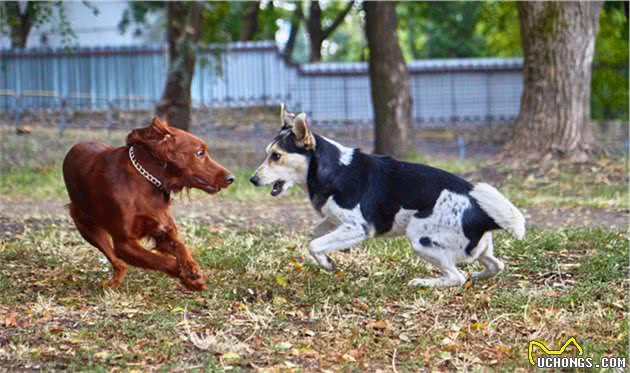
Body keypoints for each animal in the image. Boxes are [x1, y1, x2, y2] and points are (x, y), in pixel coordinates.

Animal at [62, 117, 235, 290]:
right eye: (200, 152)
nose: (231, 178)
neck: (145, 180)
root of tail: (75, 147)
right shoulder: (124, 244)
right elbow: (162, 261)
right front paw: (187, 277)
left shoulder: (162, 231)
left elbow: (180, 246)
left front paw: (191, 269)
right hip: (86, 227)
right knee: (118, 262)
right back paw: (112, 283)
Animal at [249, 105, 524, 288]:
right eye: (267, 154)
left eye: (276, 156)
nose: (252, 180)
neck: (330, 169)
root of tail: (480, 213)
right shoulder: (335, 221)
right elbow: (315, 235)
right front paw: (331, 256)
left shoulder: (358, 227)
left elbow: (314, 244)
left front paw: (327, 264)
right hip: (478, 249)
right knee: (494, 265)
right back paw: (477, 276)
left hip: (420, 238)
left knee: (457, 277)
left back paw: (425, 282)